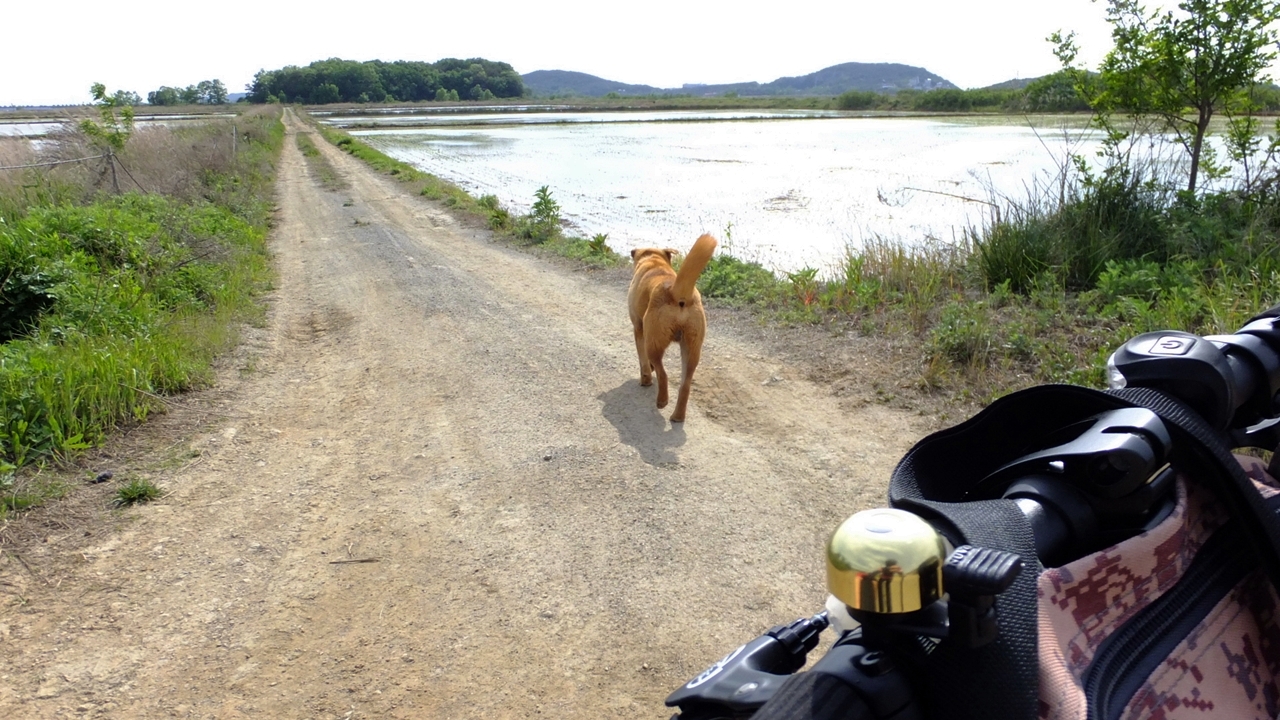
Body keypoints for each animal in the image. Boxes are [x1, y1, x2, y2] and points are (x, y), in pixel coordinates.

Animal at [629, 233, 721, 420]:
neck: (654, 261)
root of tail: (676, 290)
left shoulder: (638, 328)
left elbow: (643, 360)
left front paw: (646, 379)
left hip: (654, 343)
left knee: (662, 373)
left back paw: (662, 401)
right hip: (691, 349)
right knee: (685, 385)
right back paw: (678, 416)